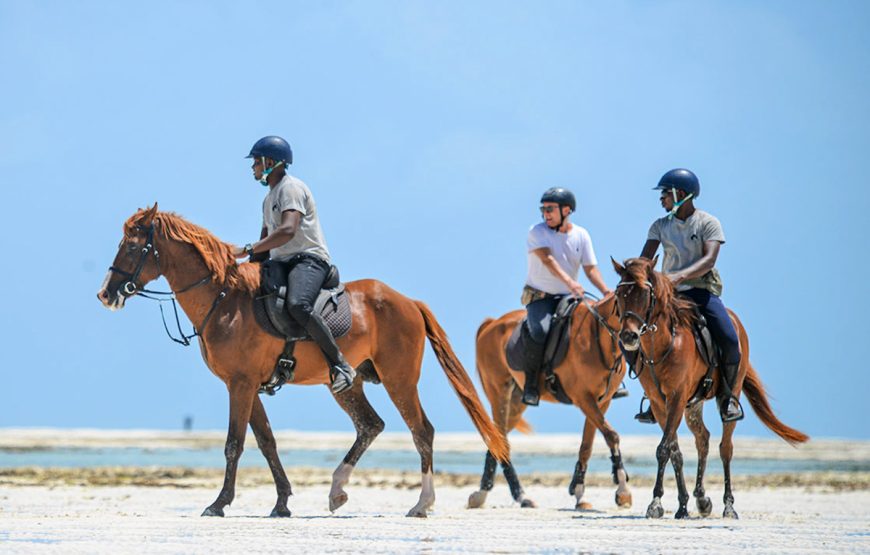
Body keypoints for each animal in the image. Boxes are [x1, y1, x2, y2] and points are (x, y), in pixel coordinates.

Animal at [96, 204, 508, 518]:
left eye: (131, 247)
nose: (105, 294)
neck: (224, 299)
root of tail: (408, 301)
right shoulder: (248, 386)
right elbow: (267, 442)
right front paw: (281, 503)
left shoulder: (240, 385)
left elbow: (234, 444)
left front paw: (219, 503)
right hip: (347, 383)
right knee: (370, 425)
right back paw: (337, 490)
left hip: (399, 380)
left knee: (422, 431)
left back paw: (422, 503)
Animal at [465, 293, 632, 511]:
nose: (635, 337)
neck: (598, 338)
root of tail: (492, 323)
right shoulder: (584, 399)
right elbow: (611, 436)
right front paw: (623, 491)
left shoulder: (601, 402)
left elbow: (587, 446)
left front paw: (579, 495)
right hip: (500, 394)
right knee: (499, 438)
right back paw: (517, 496)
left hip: (516, 403)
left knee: (497, 439)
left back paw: (486, 494)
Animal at [611, 256, 809, 519]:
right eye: (619, 294)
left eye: (645, 293)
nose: (628, 337)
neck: (663, 344)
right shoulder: (659, 401)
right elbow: (673, 450)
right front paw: (681, 505)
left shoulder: (676, 397)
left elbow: (663, 449)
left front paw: (655, 504)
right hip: (693, 405)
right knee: (703, 439)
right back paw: (701, 499)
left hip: (729, 392)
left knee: (726, 448)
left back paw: (729, 506)